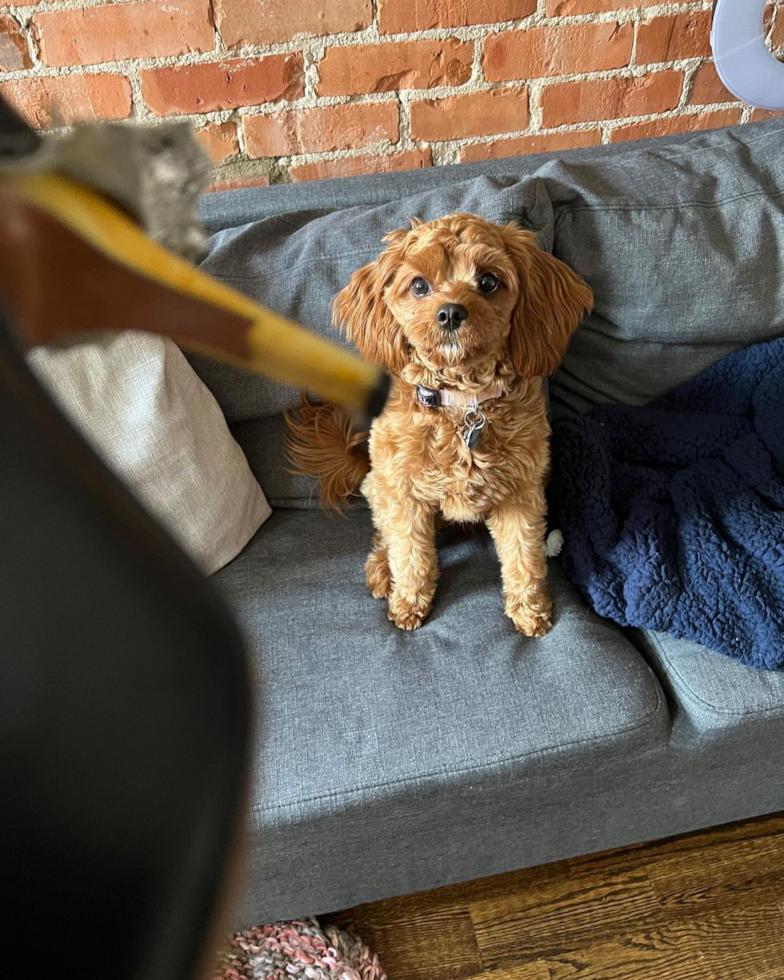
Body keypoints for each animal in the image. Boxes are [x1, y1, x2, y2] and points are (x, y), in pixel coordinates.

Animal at [284, 212, 592, 636]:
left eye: (488, 282)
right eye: (419, 285)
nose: (449, 312)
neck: (461, 404)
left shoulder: (521, 494)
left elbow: (524, 555)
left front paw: (530, 609)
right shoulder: (405, 495)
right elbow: (411, 554)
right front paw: (409, 602)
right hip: (379, 483)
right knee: (386, 536)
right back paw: (382, 570)